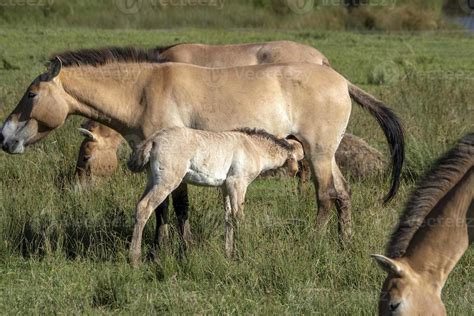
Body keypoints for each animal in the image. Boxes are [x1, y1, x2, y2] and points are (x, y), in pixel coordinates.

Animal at [0, 48, 404, 247]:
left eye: (32, 94)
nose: (5, 137)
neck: (143, 90)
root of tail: (342, 81)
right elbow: (164, 208)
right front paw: (160, 249)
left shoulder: (175, 162)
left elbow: (176, 207)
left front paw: (176, 249)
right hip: (326, 154)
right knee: (343, 194)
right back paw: (344, 244)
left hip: (318, 154)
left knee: (325, 197)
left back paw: (314, 243)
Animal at [127, 127, 304, 266]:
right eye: (300, 157)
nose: (299, 172)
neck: (253, 147)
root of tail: (153, 140)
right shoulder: (237, 183)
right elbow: (239, 217)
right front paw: (243, 253)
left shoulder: (226, 187)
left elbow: (228, 218)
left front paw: (229, 253)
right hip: (167, 181)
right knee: (144, 207)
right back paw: (135, 259)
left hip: (152, 179)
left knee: (141, 206)